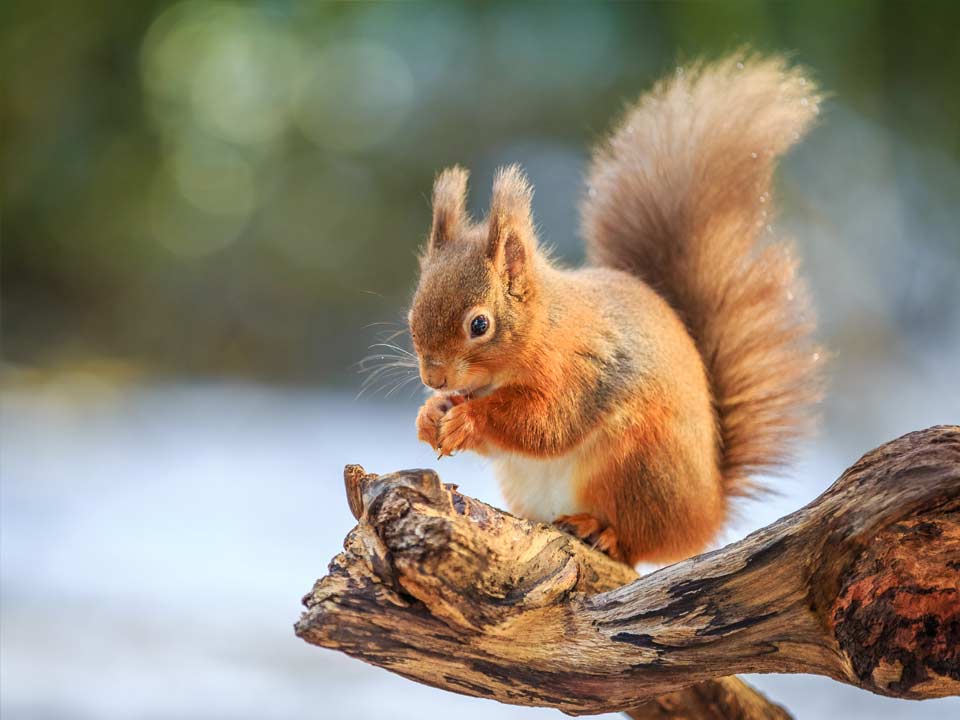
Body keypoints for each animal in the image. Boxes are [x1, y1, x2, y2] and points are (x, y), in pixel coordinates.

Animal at [406, 54, 824, 564]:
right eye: (412, 314)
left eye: (479, 324)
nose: (434, 377)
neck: (545, 327)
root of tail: (705, 515)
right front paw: (431, 414)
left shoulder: (582, 371)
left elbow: (544, 424)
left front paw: (469, 418)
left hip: (637, 466)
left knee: (634, 541)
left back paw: (599, 529)